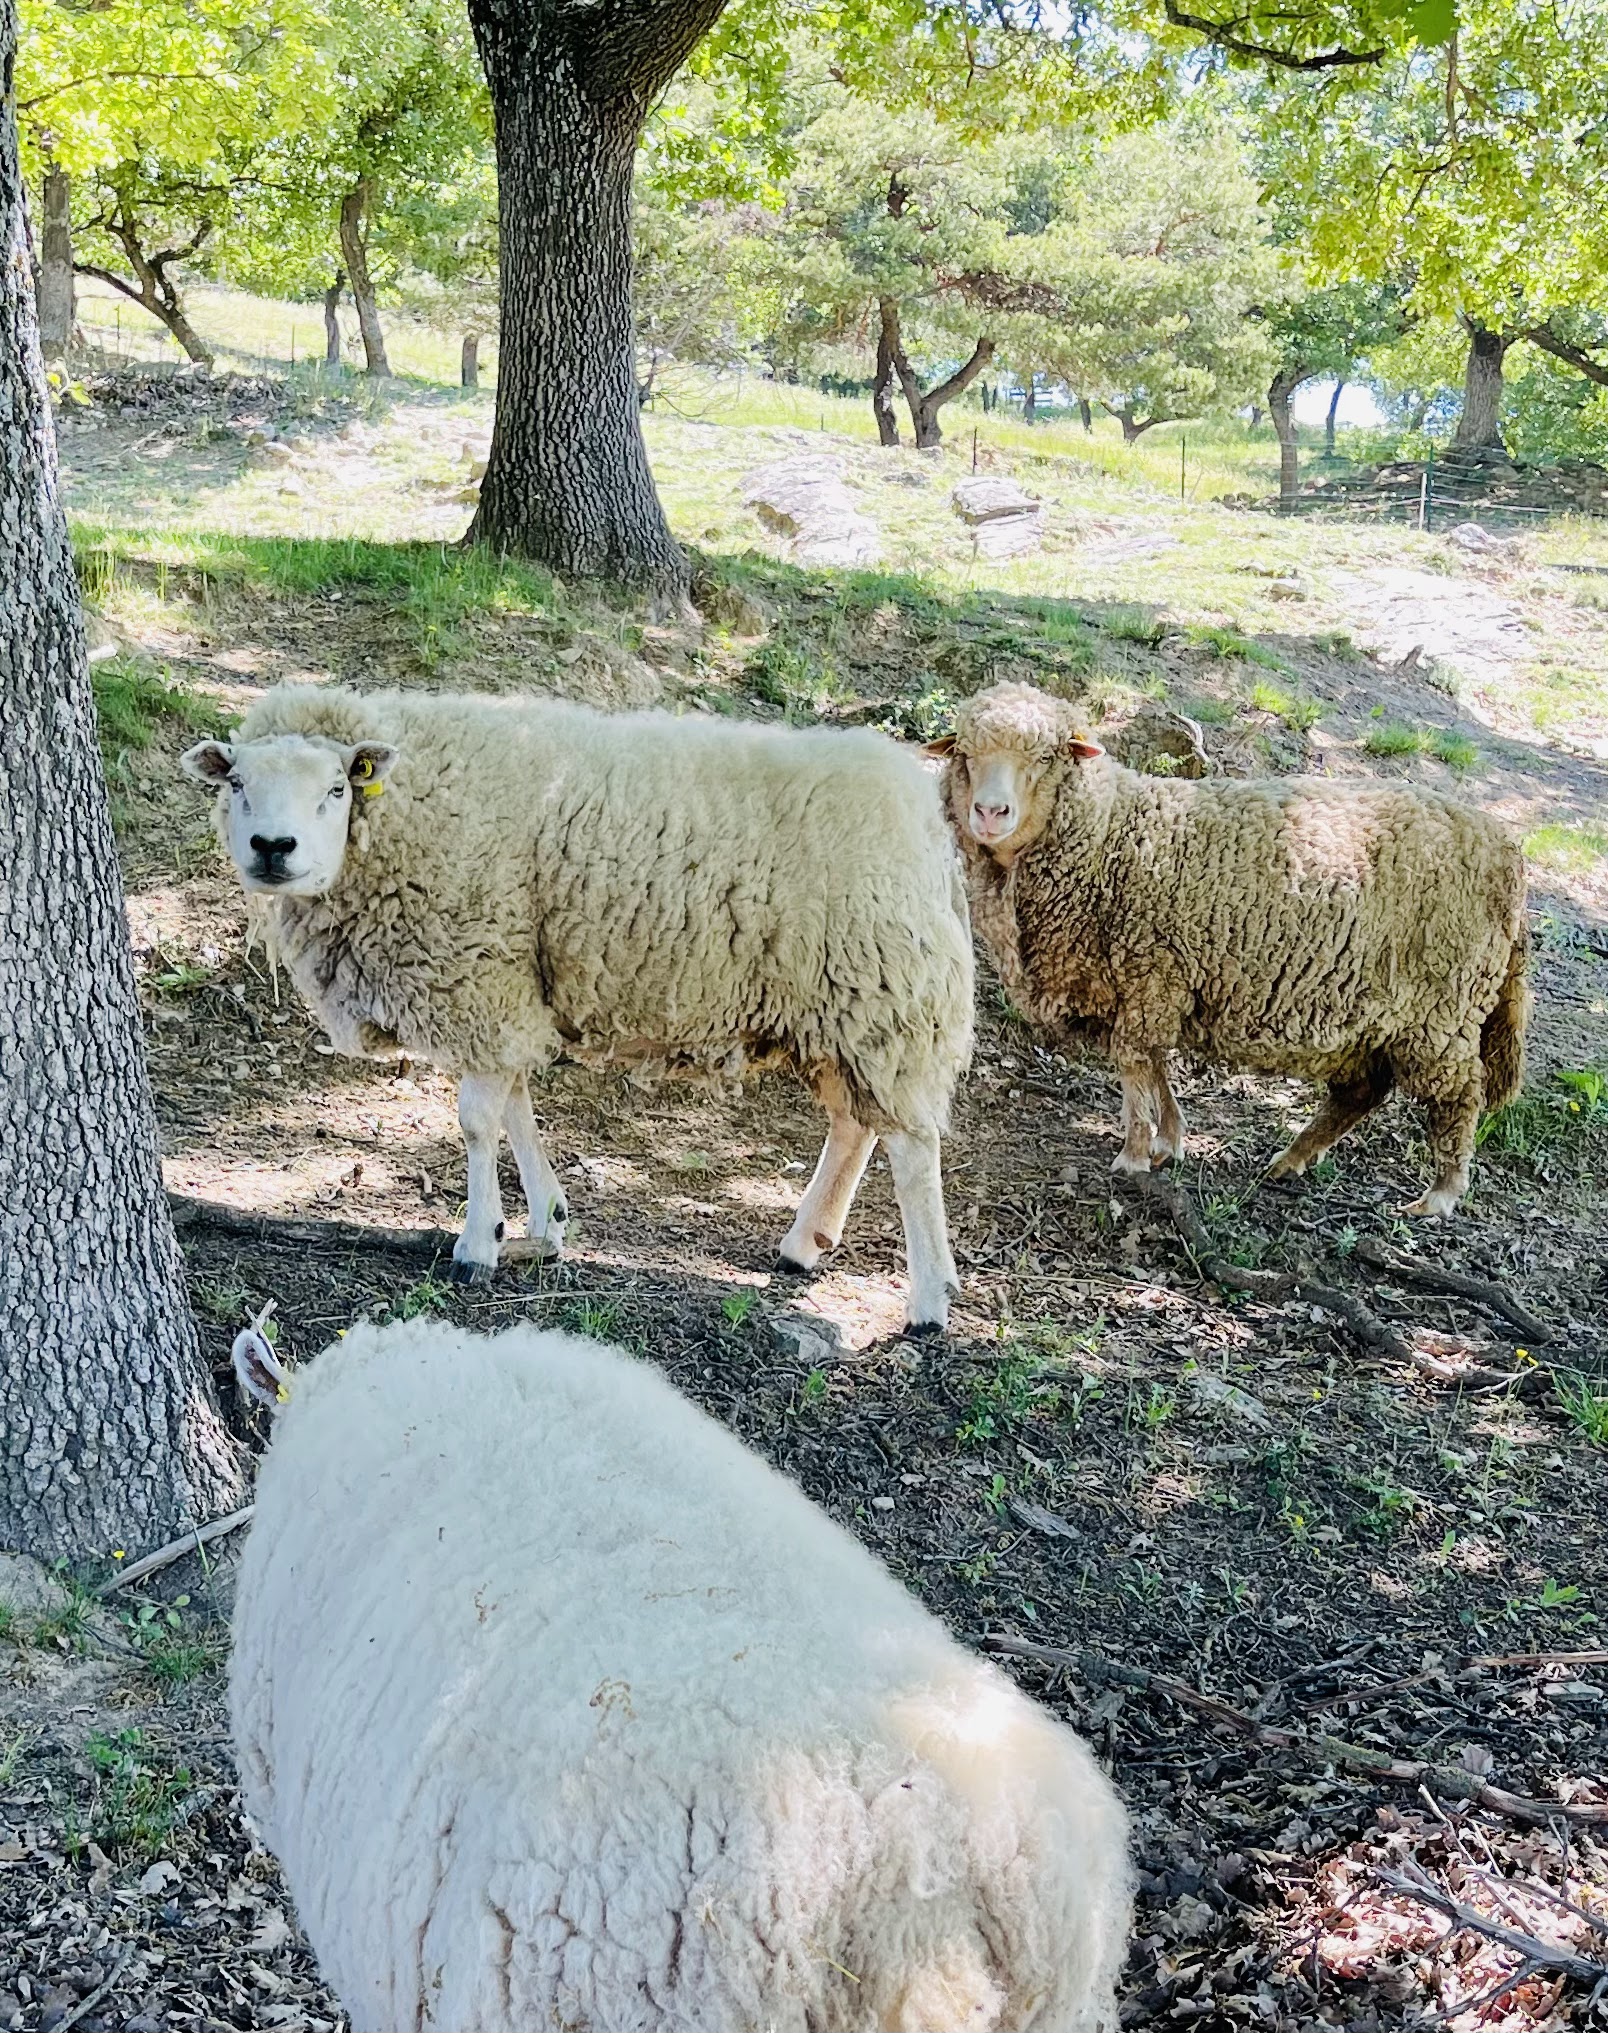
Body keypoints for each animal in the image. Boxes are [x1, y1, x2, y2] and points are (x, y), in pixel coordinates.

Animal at [182, 685, 973, 1330]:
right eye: (239, 783)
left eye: (335, 789)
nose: (273, 847)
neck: (414, 809)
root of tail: (923, 812)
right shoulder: (506, 990)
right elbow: (515, 1107)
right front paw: (546, 1222)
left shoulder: (481, 976)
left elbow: (477, 1122)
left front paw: (477, 1245)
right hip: (842, 1011)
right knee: (856, 1124)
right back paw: (806, 1242)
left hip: (884, 991)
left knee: (912, 1147)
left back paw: (930, 1300)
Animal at [929, 681, 1529, 1215]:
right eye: (964, 754)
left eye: (1046, 756)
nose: (990, 813)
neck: (1110, 837)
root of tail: (1508, 851)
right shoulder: (1134, 985)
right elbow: (1153, 1066)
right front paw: (1169, 1139)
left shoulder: (1151, 973)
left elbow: (1134, 1064)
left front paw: (1135, 1151)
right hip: (1381, 1018)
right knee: (1362, 1092)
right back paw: (1292, 1159)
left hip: (1442, 1007)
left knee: (1460, 1094)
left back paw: (1441, 1194)